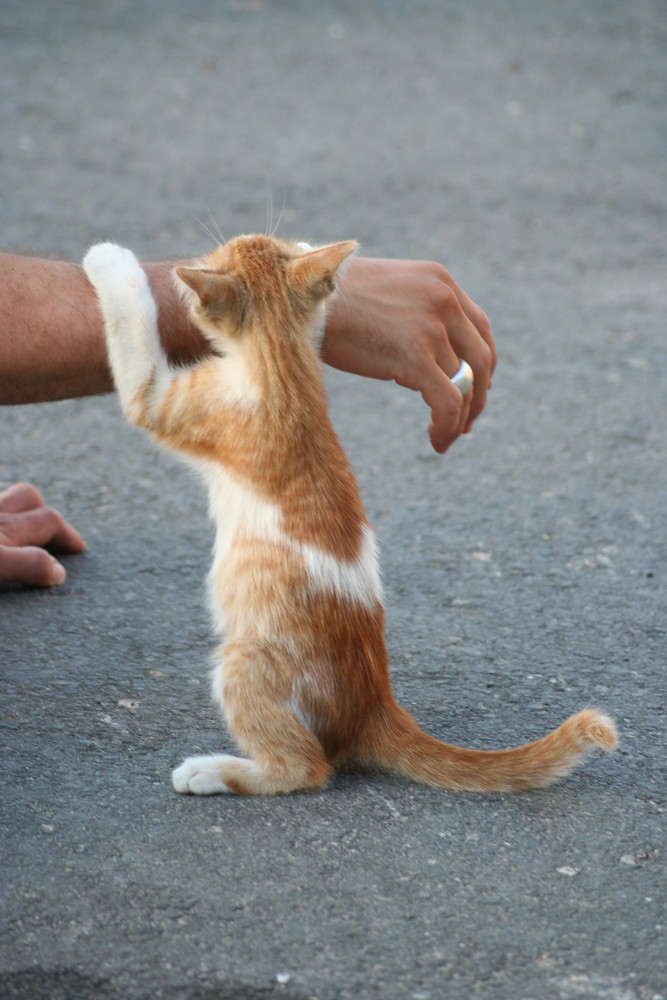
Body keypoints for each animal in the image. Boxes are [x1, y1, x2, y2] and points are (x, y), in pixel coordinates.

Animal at [81, 236, 620, 796]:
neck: (283, 362)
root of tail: (376, 705)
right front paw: (310, 252)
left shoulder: (163, 401)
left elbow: (134, 330)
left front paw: (110, 261)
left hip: (246, 661)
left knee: (306, 768)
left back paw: (214, 770)